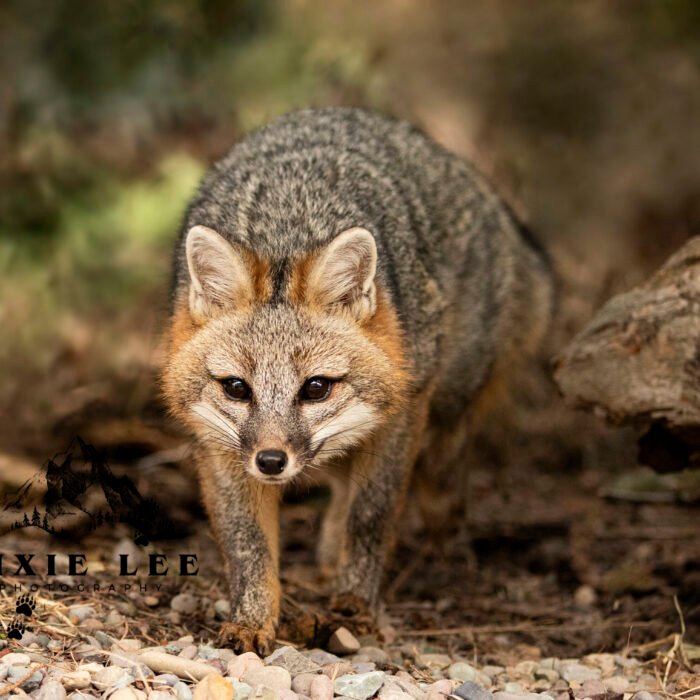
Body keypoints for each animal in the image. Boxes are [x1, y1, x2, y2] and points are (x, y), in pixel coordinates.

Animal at [162, 107, 554, 654]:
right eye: (237, 388)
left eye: (316, 388)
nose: (271, 461)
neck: (287, 229)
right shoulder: (218, 448)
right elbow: (248, 547)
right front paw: (252, 619)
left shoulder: (399, 420)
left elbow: (371, 517)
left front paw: (356, 605)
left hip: (444, 421)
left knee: (438, 488)